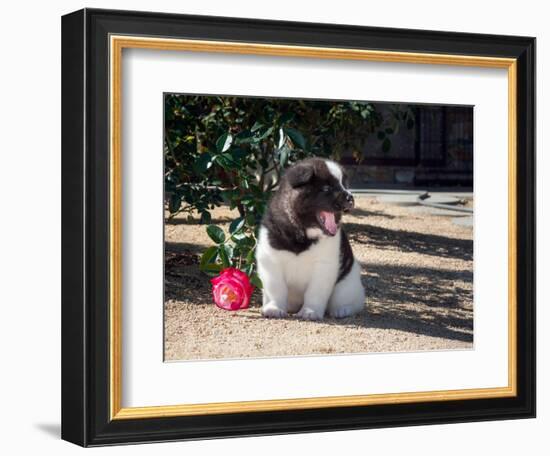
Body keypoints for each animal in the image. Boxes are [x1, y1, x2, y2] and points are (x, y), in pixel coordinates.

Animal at [258, 158, 366, 320]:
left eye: (344, 186)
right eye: (326, 189)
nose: (350, 198)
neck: (302, 234)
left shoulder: (324, 266)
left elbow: (315, 292)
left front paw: (310, 311)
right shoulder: (270, 261)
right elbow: (276, 288)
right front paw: (274, 308)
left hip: (347, 284)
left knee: (351, 300)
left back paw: (343, 310)